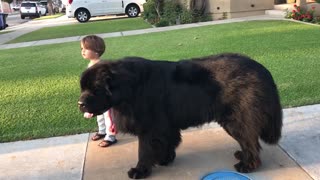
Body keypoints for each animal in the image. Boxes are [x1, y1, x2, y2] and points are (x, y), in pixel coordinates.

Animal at [78, 53, 282, 179]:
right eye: (83, 88)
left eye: (95, 89)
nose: (80, 103)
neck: (131, 88)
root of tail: (262, 70)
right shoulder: (165, 126)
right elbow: (168, 142)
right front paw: (165, 159)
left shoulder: (150, 128)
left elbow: (144, 151)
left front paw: (140, 170)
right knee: (248, 141)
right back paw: (242, 156)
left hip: (237, 120)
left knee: (250, 142)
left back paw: (248, 165)